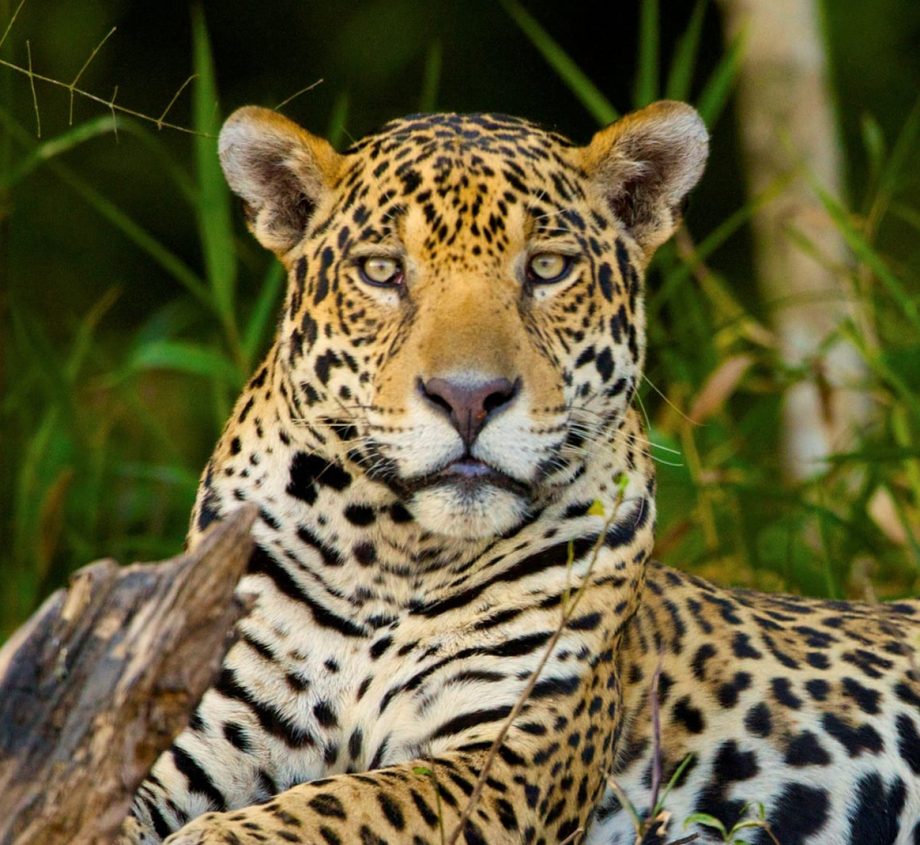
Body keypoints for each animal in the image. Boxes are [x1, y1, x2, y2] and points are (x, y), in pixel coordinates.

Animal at [121, 101, 920, 845]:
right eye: (383, 271)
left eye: (546, 268)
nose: (469, 397)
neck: (389, 553)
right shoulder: (193, 730)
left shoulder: (508, 757)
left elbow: (342, 802)